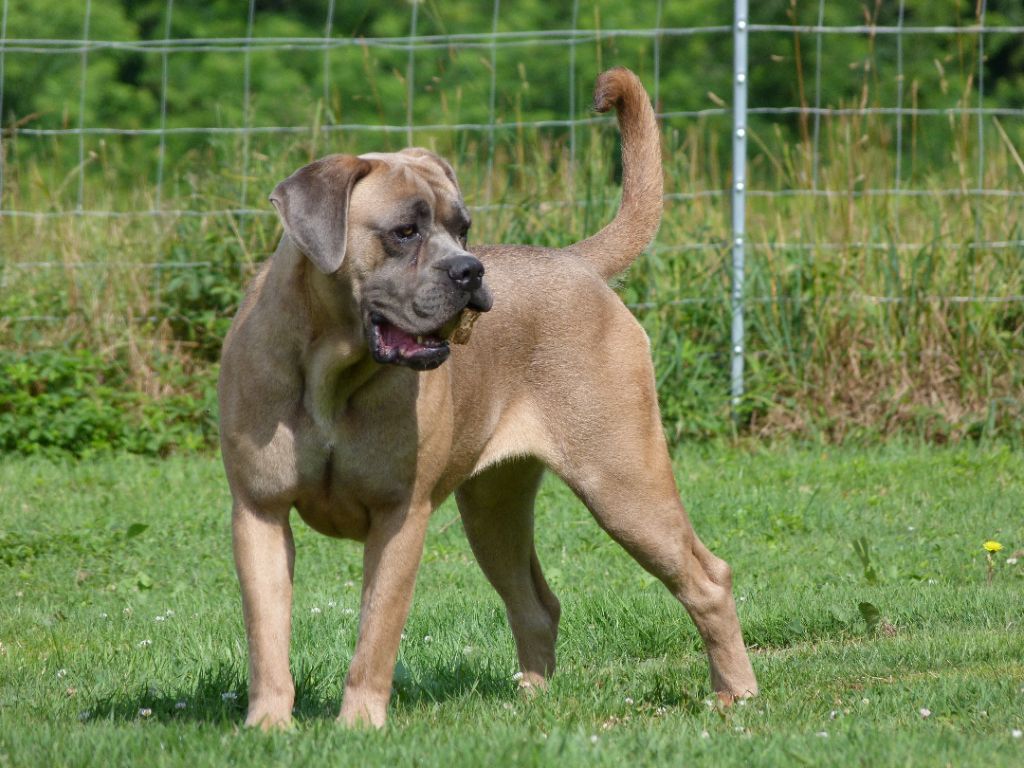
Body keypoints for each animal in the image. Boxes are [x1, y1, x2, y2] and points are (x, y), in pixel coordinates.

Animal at [218, 67, 758, 729]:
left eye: (463, 228)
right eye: (404, 232)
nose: (470, 270)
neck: (330, 371)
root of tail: (576, 262)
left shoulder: (400, 519)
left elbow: (376, 638)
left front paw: (359, 724)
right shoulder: (259, 513)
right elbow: (267, 636)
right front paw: (269, 726)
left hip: (624, 484)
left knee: (708, 579)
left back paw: (736, 692)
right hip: (493, 508)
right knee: (537, 603)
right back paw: (531, 700)